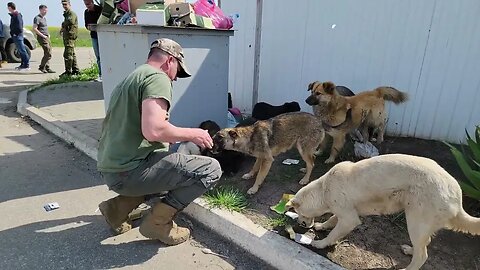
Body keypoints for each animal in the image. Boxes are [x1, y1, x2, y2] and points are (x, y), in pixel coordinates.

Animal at [286, 154, 478, 270]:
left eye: (298, 211)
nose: (299, 223)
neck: (324, 189)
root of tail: (458, 195)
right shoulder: (347, 211)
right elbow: (332, 220)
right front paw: (321, 226)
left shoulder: (349, 219)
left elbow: (334, 232)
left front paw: (320, 243)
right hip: (420, 224)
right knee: (424, 244)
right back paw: (410, 250)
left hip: (415, 220)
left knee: (422, 255)